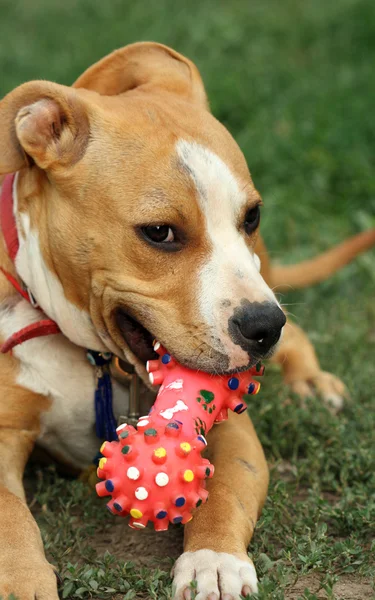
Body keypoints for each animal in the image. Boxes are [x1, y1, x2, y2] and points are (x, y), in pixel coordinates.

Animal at [0, 43, 375, 600]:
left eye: (252, 216)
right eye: (159, 233)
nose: (263, 326)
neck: (94, 357)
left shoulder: (233, 428)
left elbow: (223, 490)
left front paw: (213, 559)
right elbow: (10, 518)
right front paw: (24, 583)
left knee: (300, 333)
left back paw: (312, 382)